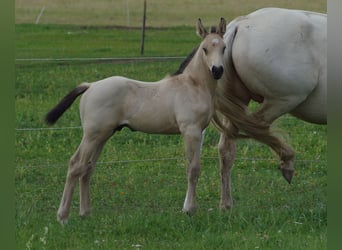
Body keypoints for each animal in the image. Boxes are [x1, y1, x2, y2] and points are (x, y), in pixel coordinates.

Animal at [46, 18, 227, 224]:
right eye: (205, 48)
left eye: (223, 48)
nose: (217, 70)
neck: (193, 85)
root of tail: (90, 86)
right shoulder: (191, 131)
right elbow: (193, 169)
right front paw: (189, 209)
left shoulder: (199, 131)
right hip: (92, 135)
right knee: (76, 164)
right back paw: (63, 216)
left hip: (102, 136)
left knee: (88, 168)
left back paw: (85, 213)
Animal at [212, 7, 328, 210]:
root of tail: (241, 24)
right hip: (283, 99)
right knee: (259, 127)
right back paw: (287, 162)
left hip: (238, 102)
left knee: (227, 149)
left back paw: (226, 205)